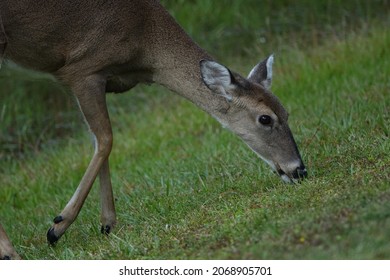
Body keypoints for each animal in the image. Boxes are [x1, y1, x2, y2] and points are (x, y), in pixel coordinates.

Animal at [0, 0, 308, 260]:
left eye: (286, 112)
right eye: (265, 119)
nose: (299, 170)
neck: (147, 48)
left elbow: (98, 141)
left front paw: (106, 223)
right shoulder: (81, 69)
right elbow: (106, 139)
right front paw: (58, 227)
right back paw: (12, 252)